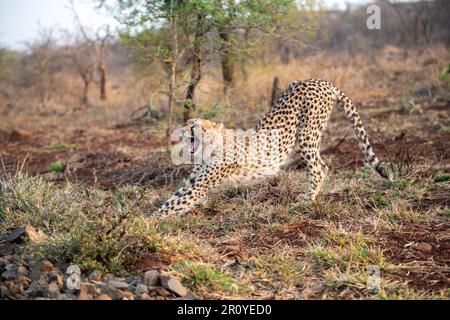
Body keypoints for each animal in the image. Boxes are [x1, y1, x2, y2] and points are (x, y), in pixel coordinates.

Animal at [156, 79, 394, 216]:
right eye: (187, 123)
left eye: (195, 125)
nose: (182, 130)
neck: (208, 149)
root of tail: (321, 81)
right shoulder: (193, 183)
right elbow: (172, 199)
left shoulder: (200, 186)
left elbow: (172, 205)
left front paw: (151, 223)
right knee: (323, 165)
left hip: (305, 135)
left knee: (318, 168)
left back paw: (306, 201)